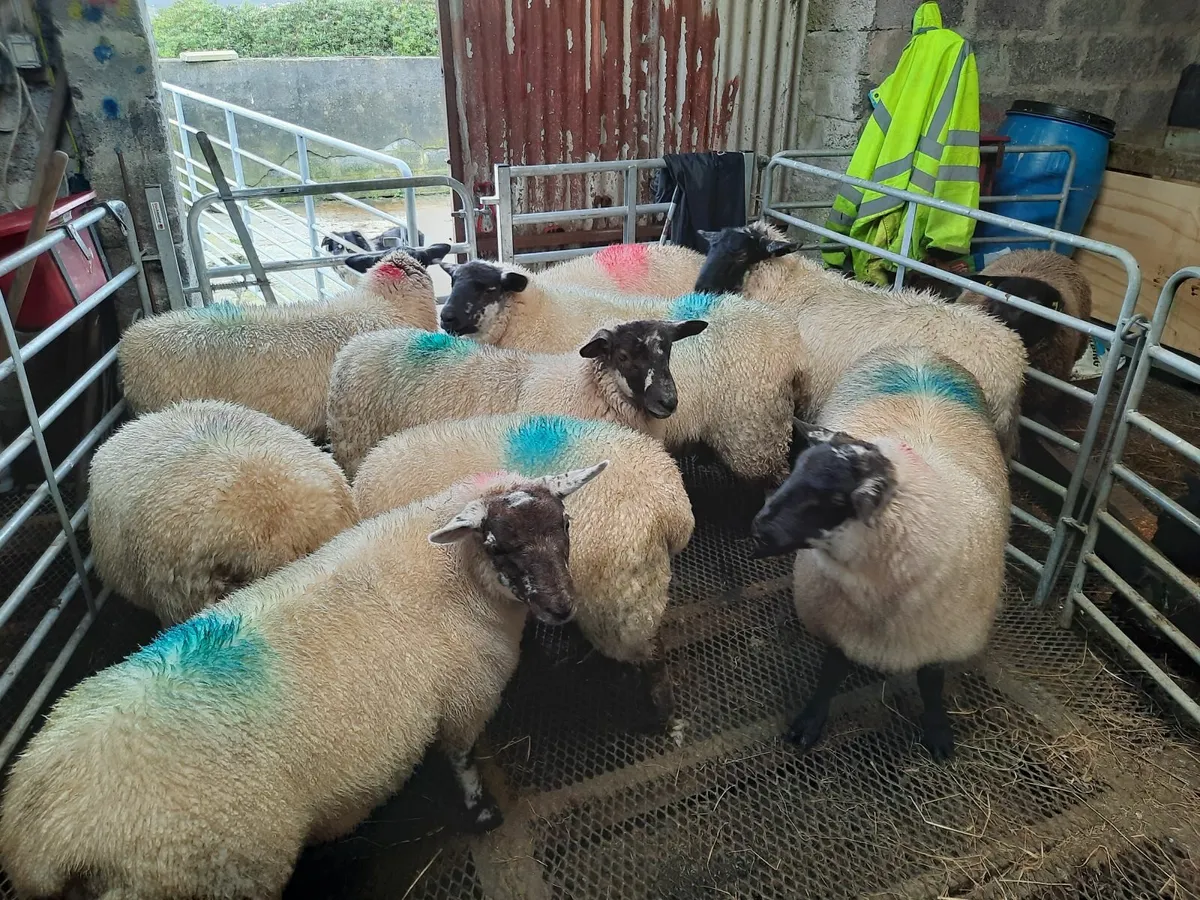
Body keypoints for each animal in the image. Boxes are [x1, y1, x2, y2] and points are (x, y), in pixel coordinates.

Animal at [0, 461, 607, 900]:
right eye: (500, 545)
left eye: (565, 525)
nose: (562, 608)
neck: (457, 577)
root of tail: (41, 840)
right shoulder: (464, 700)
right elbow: (463, 763)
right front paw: (482, 814)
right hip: (223, 871)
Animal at [327, 320, 707, 477]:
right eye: (624, 357)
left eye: (667, 350)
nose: (668, 402)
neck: (582, 386)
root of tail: (354, 347)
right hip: (353, 446)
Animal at [353, 413, 694, 722]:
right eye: (498, 548)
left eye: (566, 524)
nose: (560, 608)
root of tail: (674, 511)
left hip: (622, 600)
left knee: (651, 654)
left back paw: (663, 714)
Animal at [439, 260, 808, 482]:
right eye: (453, 280)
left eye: (488, 287)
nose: (446, 318)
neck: (534, 316)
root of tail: (789, 337)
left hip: (755, 429)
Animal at [749, 345, 1009, 761]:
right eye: (796, 471)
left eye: (834, 499)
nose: (758, 529)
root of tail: (917, 348)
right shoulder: (839, 623)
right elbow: (831, 672)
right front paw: (810, 722)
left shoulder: (941, 636)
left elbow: (931, 683)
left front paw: (938, 731)